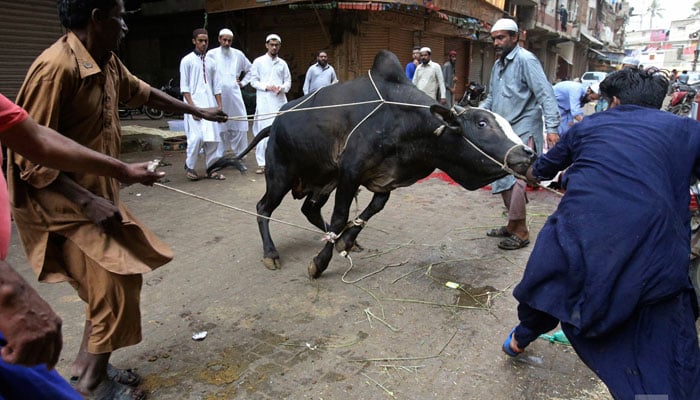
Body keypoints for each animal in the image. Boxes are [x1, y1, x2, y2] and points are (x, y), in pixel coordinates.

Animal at [232, 50, 532, 278]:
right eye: (481, 123)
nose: (527, 153)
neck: (407, 123)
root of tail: (275, 122)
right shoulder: (350, 172)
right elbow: (340, 216)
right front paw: (319, 263)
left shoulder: (384, 182)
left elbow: (370, 211)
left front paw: (346, 240)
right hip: (280, 176)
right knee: (263, 208)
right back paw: (271, 253)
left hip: (323, 182)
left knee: (310, 210)